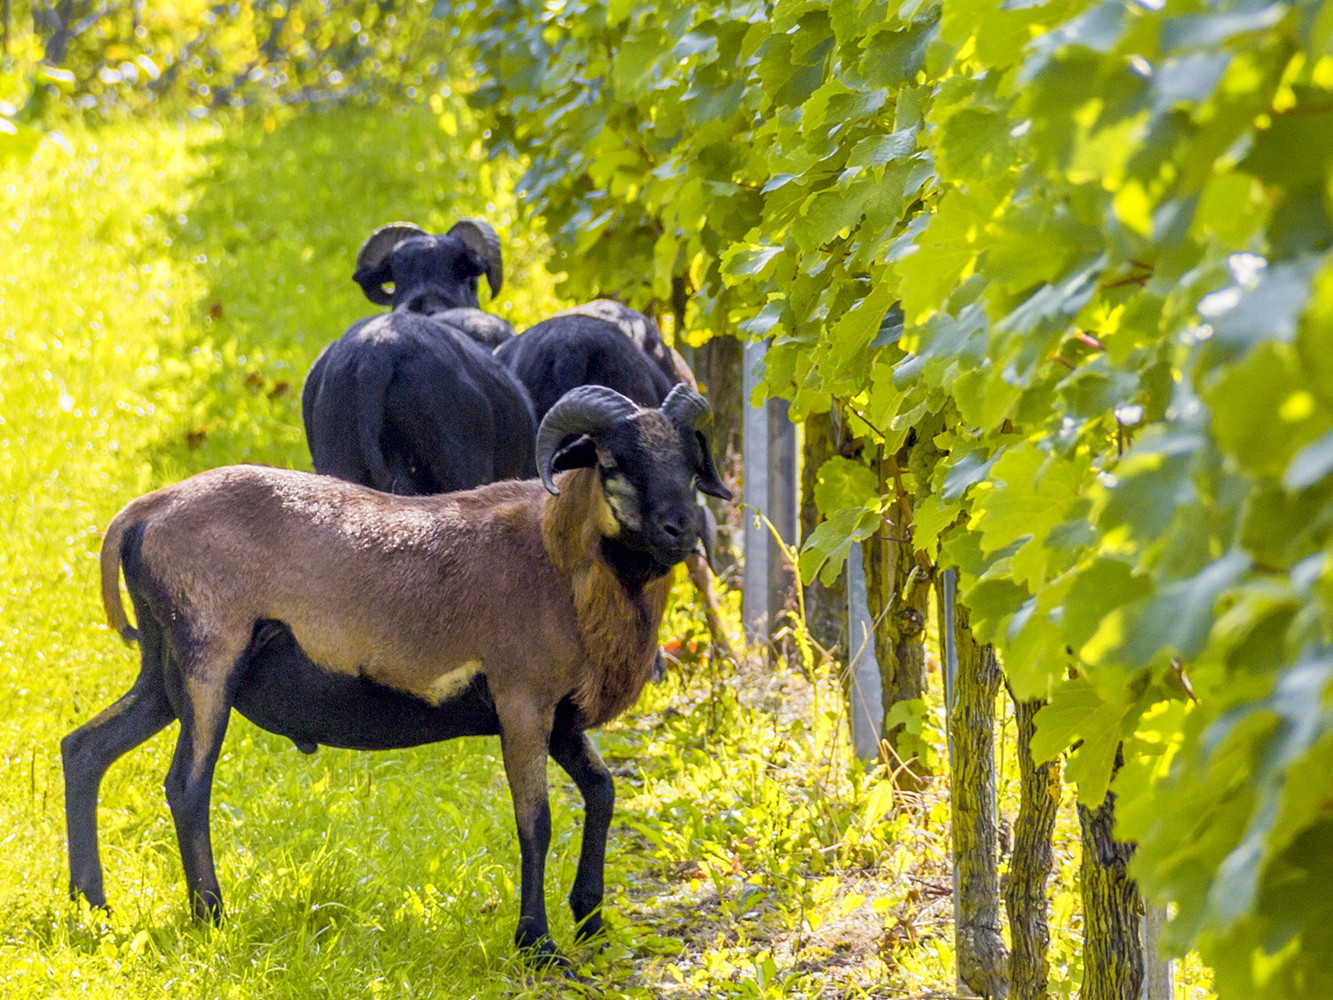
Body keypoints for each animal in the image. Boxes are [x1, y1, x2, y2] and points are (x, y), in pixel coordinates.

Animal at [62, 384, 731, 966]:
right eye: (615, 462)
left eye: (689, 462)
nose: (680, 529)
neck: (559, 557)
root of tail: (142, 513)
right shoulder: (521, 701)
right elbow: (535, 823)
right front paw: (539, 946)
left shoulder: (562, 718)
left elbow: (602, 791)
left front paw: (591, 921)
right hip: (208, 662)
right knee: (186, 785)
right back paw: (210, 916)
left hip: (162, 672)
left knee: (85, 748)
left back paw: (90, 907)